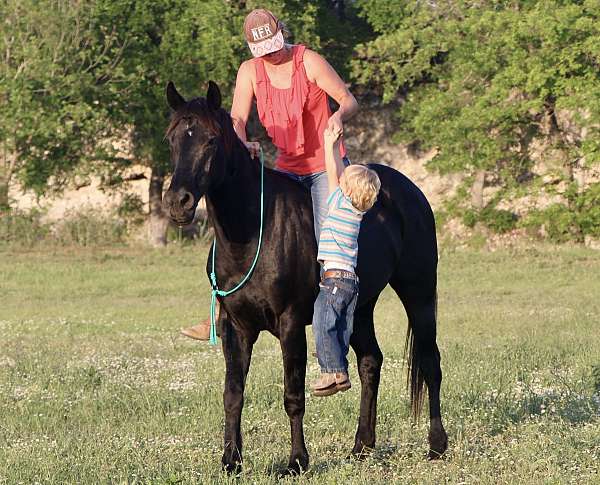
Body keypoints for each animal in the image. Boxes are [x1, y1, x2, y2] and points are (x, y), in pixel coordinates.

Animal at [162, 82, 448, 472]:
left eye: (211, 139)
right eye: (172, 139)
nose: (179, 202)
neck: (252, 232)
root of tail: (411, 191)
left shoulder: (291, 322)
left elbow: (293, 394)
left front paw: (297, 460)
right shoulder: (236, 328)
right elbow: (233, 393)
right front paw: (231, 461)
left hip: (418, 291)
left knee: (430, 362)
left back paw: (437, 445)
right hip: (358, 307)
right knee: (370, 362)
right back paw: (362, 446)